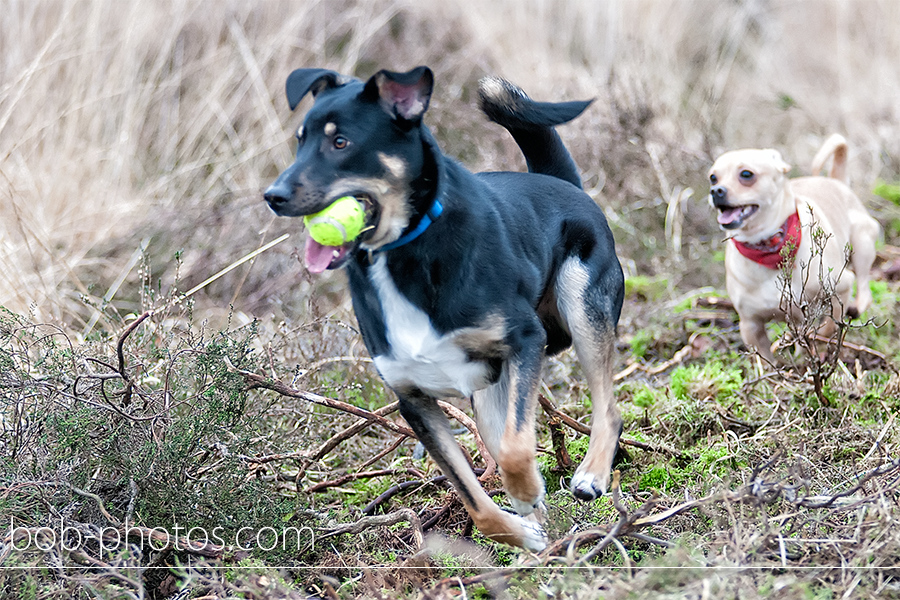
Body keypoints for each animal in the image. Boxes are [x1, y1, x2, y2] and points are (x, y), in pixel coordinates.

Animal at [264, 64, 624, 548]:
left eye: (341, 142)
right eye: (300, 139)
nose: (273, 195)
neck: (403, 253)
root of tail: (561, 182)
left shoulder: (526, 338)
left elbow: (516, 450)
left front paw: (528, 493)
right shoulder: (413, 400)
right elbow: (477, 501)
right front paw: (523, 531)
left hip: (582, 306)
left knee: (608, 409)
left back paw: (590, 476)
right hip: (491, 393)